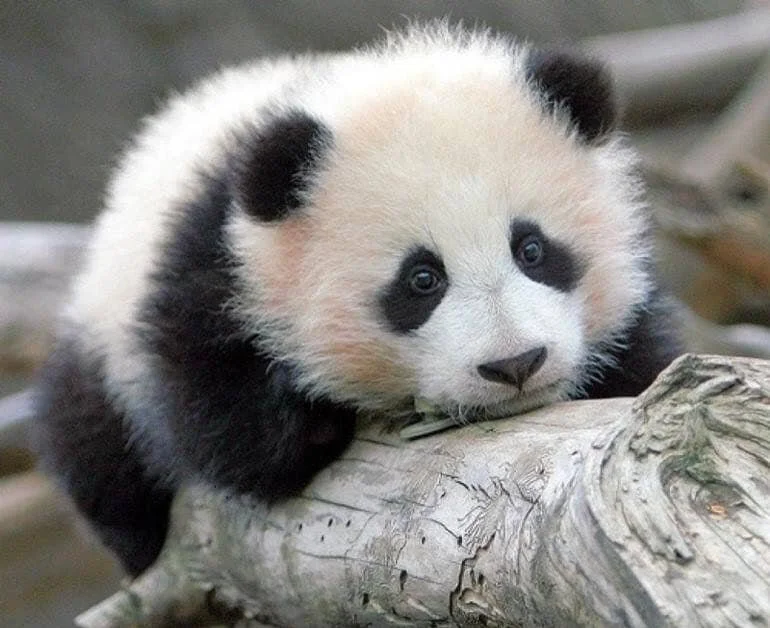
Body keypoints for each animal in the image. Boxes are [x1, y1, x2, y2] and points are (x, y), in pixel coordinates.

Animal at [33, 23, 681, 577]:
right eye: (421, 280)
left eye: (532, 249)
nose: (515, 364)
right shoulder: (213, 256)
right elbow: (214, 412)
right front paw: (309, 414)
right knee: (92, 443)